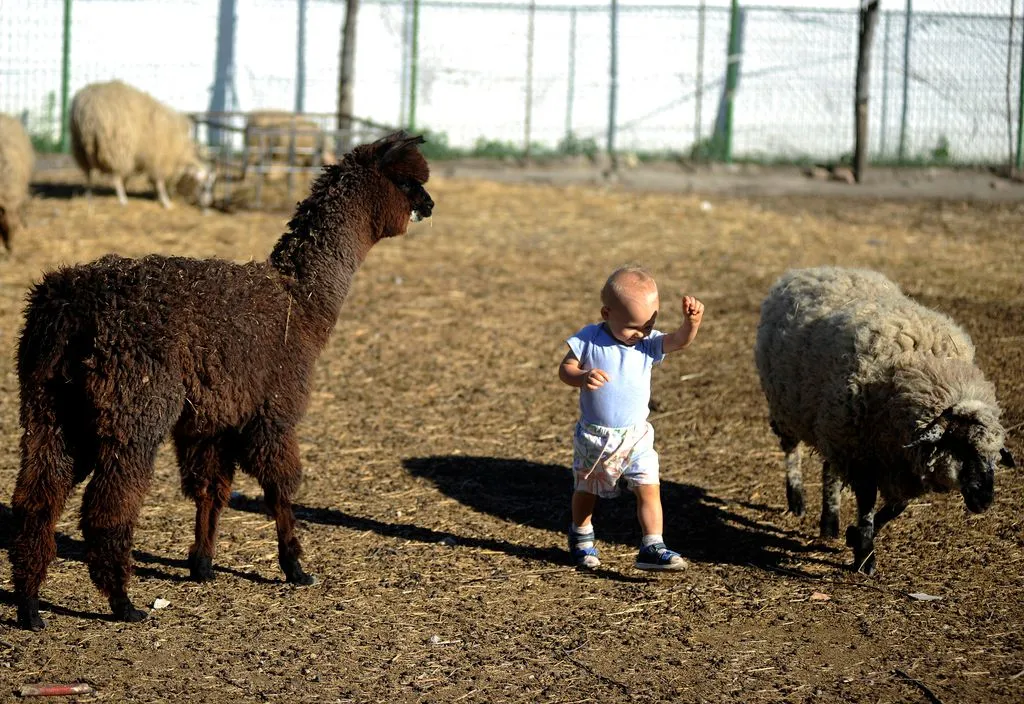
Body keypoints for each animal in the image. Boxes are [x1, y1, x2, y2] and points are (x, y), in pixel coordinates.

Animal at [8, 131, 434, 631]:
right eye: (407, 182)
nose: (429, 205)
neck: (300, 305)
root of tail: (66, 309)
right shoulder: (274, 410)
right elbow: (280, 487)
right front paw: (295, 567)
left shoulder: (211, 420)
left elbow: (210, 489)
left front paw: (203, 564)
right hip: (132, 410)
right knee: (105, 508)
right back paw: (123, 603)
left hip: (50, 407)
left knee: (36, 499)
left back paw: (30, 605)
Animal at [70, 80, 212, 209]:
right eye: (204, 187)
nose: (208, 204)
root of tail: (86, 106)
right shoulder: (159, 159)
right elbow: (159, 183)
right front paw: (166, 202)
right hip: (116, 148)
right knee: (115, 177)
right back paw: (122, 200)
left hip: (81, 146)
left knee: (90, 174)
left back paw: (89, 197)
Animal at [754, 266, 1015, 574]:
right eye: (960, 446)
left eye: (994, 455)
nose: (985, 501)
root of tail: (814, 269)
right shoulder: (862, 457)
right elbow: (867, 503)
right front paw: (865, 555)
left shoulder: (899, 463)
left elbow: (896, 507)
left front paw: (854, 536)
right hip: (789, 409)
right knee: (792, 451)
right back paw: (796, 501)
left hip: (833, 424)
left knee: (830, 471)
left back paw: (830, 523)